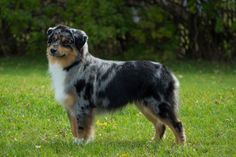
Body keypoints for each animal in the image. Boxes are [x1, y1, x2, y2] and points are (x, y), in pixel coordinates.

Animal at [46, 24, 186, 145]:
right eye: (52, 40)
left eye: (66, 42)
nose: (52, 50)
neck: (73, 65)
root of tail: (166, 70)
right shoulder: (71, 107)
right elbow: (74, 127)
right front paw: (76, 143)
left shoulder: (82, 104)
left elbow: (81, 127)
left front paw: (80, 143)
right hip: (145, 106)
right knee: (160, 124)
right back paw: (153, 143)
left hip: (159, 104)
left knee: (177, 124)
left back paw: (179, 146)